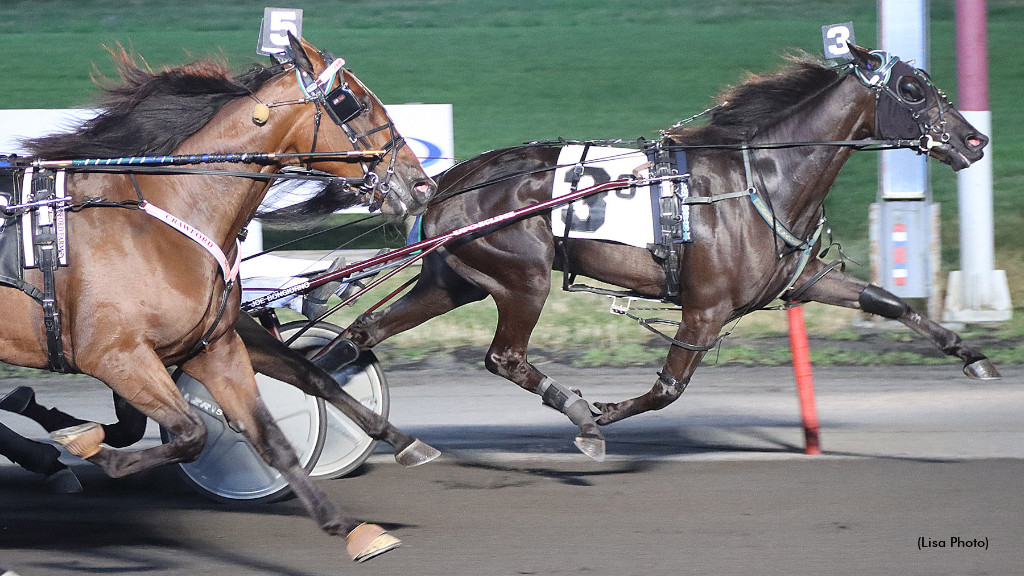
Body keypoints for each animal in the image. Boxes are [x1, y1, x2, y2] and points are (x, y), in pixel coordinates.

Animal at [0, 33, 434, 557]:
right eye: (353, 101)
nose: (421, 184)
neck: (160, 220)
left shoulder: (214, 345)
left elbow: (275, 430)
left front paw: (351, 527)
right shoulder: (113, 354)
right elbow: (193, 432)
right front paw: (85, 444)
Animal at [339, 44, 995, 457]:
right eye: (912, 89)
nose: (975, 140)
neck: (764, 178)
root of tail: (447, 181)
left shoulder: (801, 280)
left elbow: (890, 301)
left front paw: (971, 354)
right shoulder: (706, 307)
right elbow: (667, 389)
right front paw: (598, 416)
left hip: (455, 280)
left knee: (363, 333)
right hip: (522, 278)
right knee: (505, 356)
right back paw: (575, 411)